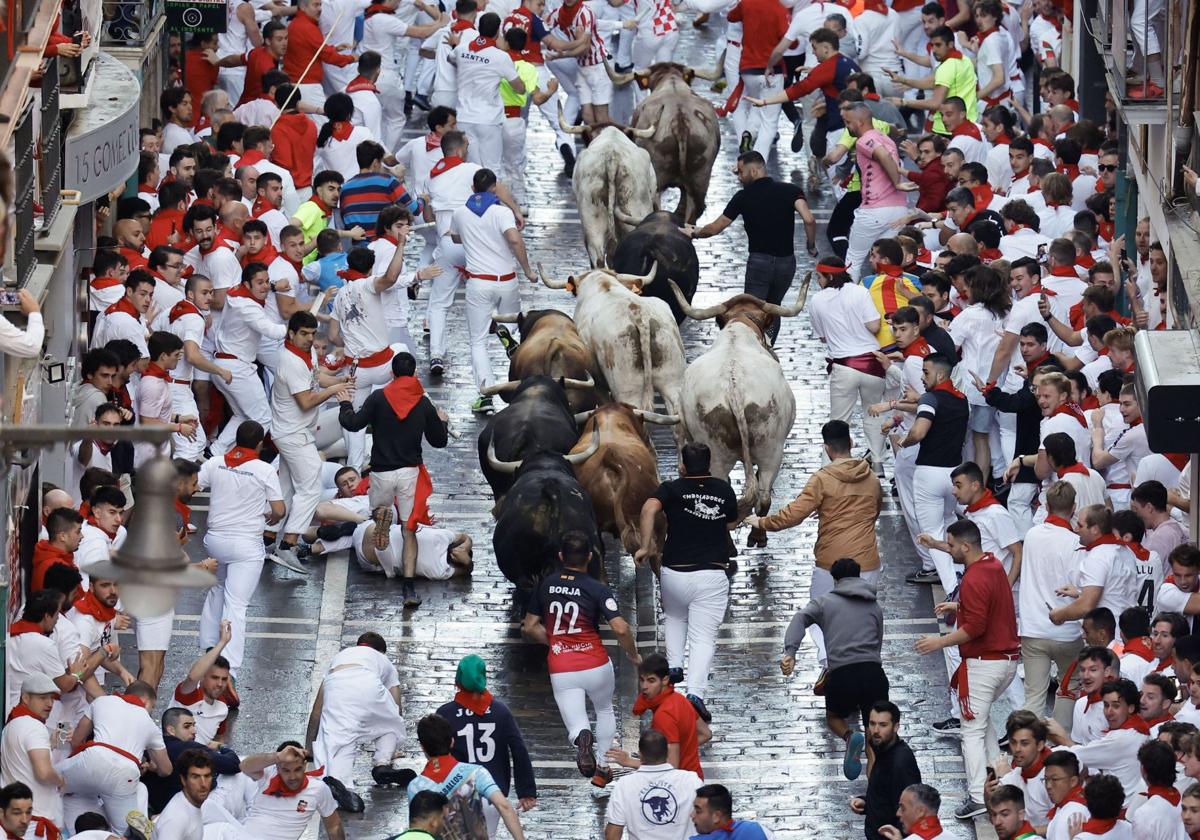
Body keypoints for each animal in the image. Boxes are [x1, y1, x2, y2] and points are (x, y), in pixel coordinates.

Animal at [672, 278, 811, 547]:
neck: (738, 332)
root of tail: (734, 387)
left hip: (724, 454)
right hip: (771, 449)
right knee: (762, 494)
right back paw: (756, 537)